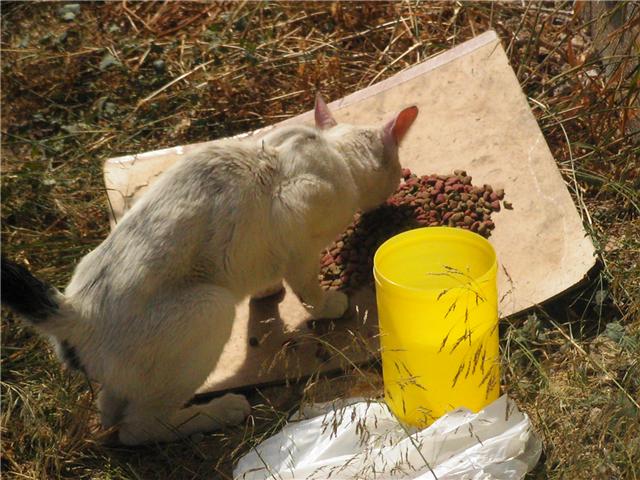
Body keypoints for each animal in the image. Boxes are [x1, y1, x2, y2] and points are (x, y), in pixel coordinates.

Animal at [2, 94, 418, 446]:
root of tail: (75, 313)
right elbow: (307, 288)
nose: (402, 178)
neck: (331, 151)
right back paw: (221, 410)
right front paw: (330, 305)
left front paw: (267, 288)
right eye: (398, 168)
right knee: (139, 429)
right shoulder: (297, 223)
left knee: (113, 410)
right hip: (210, 307)